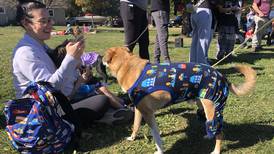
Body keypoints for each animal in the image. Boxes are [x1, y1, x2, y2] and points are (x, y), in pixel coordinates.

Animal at [103, 47, 256, 154]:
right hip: (203, 104)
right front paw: (132, 138)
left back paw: (216, 150)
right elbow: (135, 126)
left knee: (219, 132)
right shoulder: (139, 109)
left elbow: (156, 136)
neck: (127, 65)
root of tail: (222, 77)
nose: (100, 60)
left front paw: (160, 150)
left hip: (212, 109)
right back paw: (208, 136)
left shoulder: (148, 113)